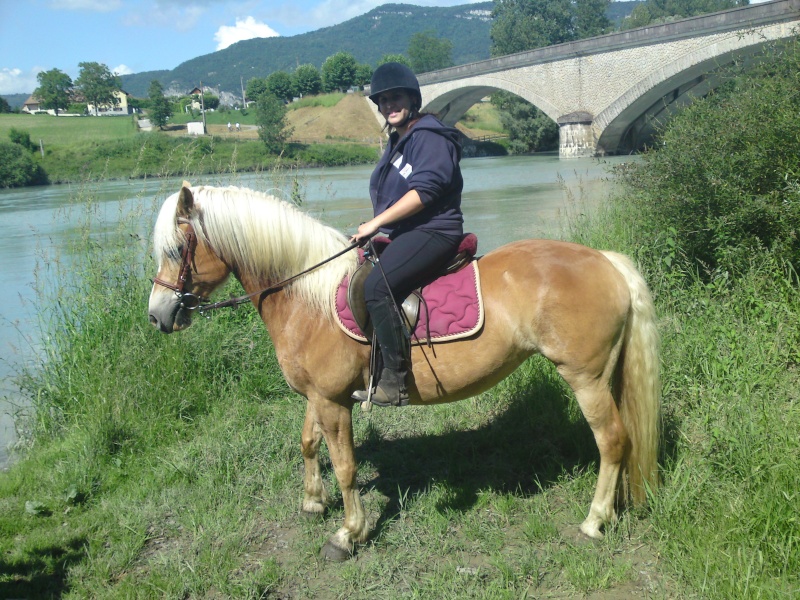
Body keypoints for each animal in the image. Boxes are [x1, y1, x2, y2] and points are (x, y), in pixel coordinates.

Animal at [147, 184, 660, 564]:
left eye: (178, 247)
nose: (158, 315)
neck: (306, 294)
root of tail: (605, 260)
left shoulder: (332, 400)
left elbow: (347, 467)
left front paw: (349, 533)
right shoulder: (319, 395)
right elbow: (309, 443)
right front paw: (313, 501)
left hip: (585, 377)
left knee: (612, 441)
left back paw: (594, 520)